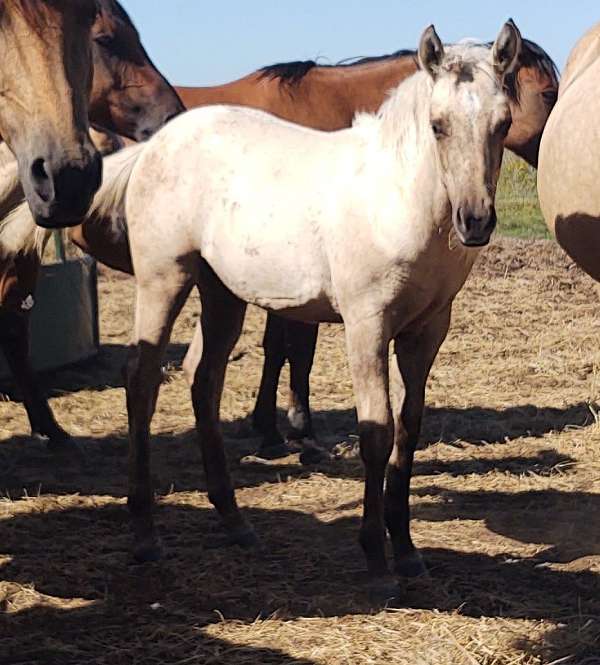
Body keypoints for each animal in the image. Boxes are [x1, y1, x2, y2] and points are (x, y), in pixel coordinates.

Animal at [77, 21, 520, 582]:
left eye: (503, 124)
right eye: (437, 125)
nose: (475, 221)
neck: (395, 201)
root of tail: (157, 143)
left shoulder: (426, 331)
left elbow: (409, 430)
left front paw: (407, 550)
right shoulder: (366, 325)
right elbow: (377, 432)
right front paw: (377, 559)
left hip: (221, 292)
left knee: (204, 379)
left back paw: (234, 521)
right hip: (164, 278)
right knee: (141, 379)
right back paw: (145, 534)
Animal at [175, 35, 559, 461]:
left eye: (503, 122)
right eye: (548, 93)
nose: (476, 220)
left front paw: (276, 426)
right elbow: (292, 349)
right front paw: (290, 430)